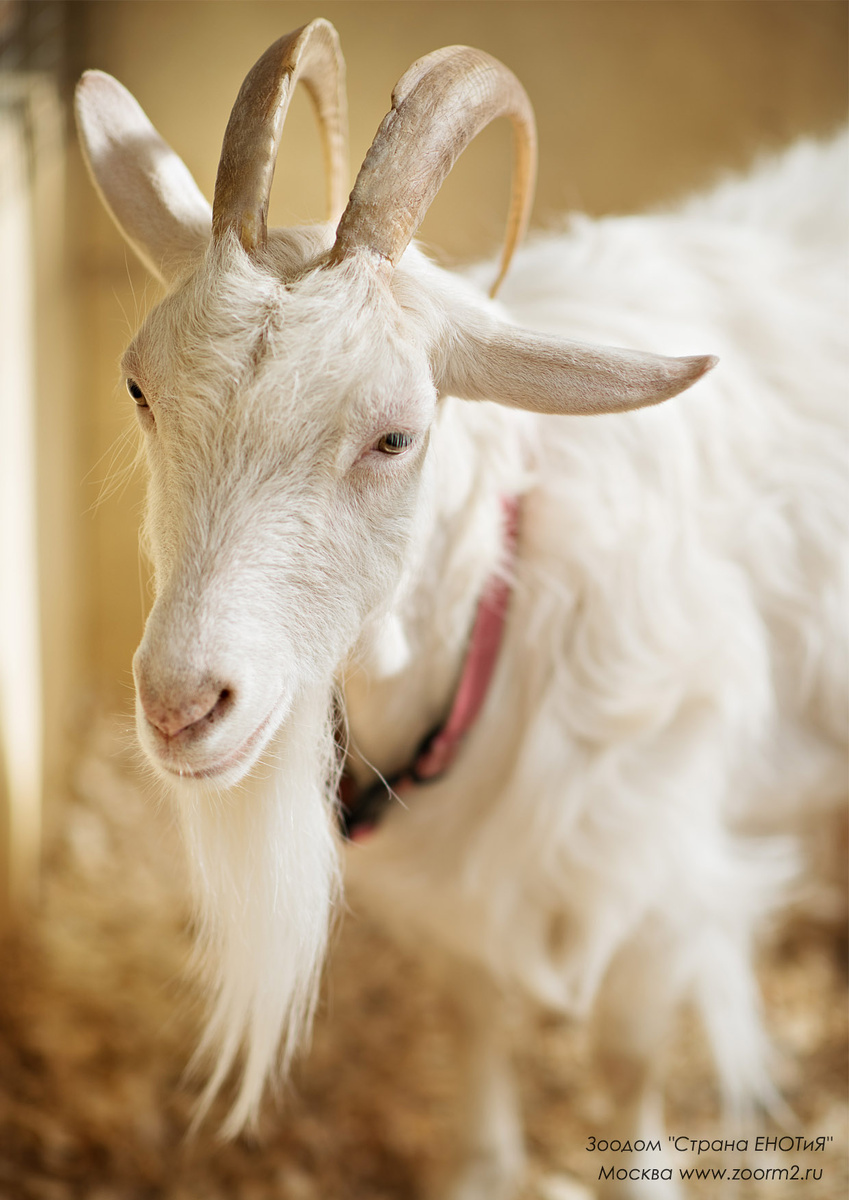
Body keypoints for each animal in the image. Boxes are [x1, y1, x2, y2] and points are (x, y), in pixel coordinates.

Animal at [75, 20, 847, 1199]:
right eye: (137, 388)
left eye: (397, 435)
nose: (182, 705)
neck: (501, 613)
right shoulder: (453, 888)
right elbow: (472, 1010)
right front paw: (483, 1164)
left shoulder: (660, 873)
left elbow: (628, 1059)